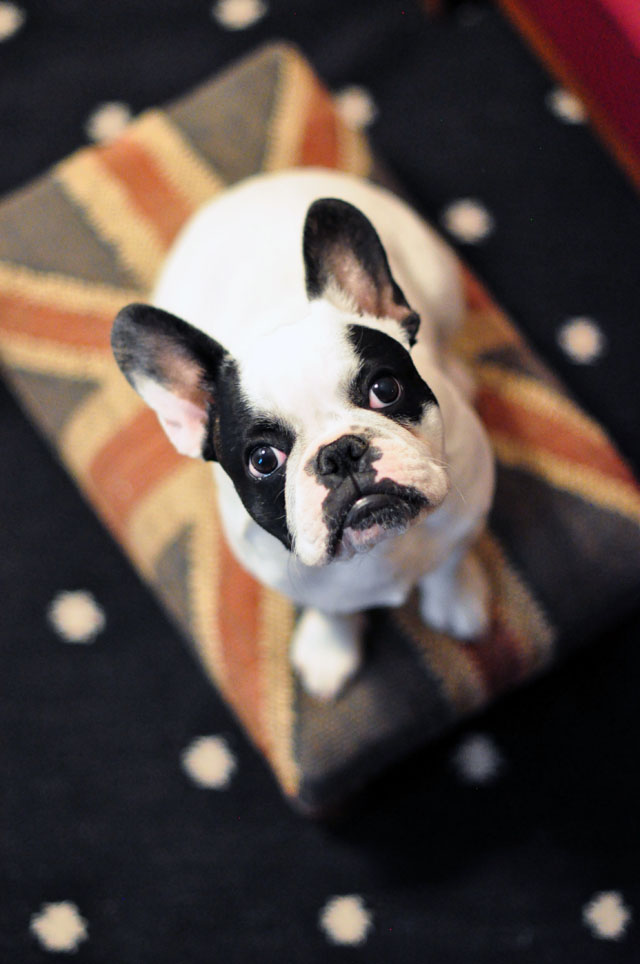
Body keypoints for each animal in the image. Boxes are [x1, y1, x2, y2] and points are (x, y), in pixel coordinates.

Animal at [112, 169, 496, 696]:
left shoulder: (468, 513)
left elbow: (450, 561)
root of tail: (262, 181)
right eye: (263, 460)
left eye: (385, 389)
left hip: (442, 286)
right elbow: (331, 609)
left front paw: (457, 599)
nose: (340, 454)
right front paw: (331, 650)